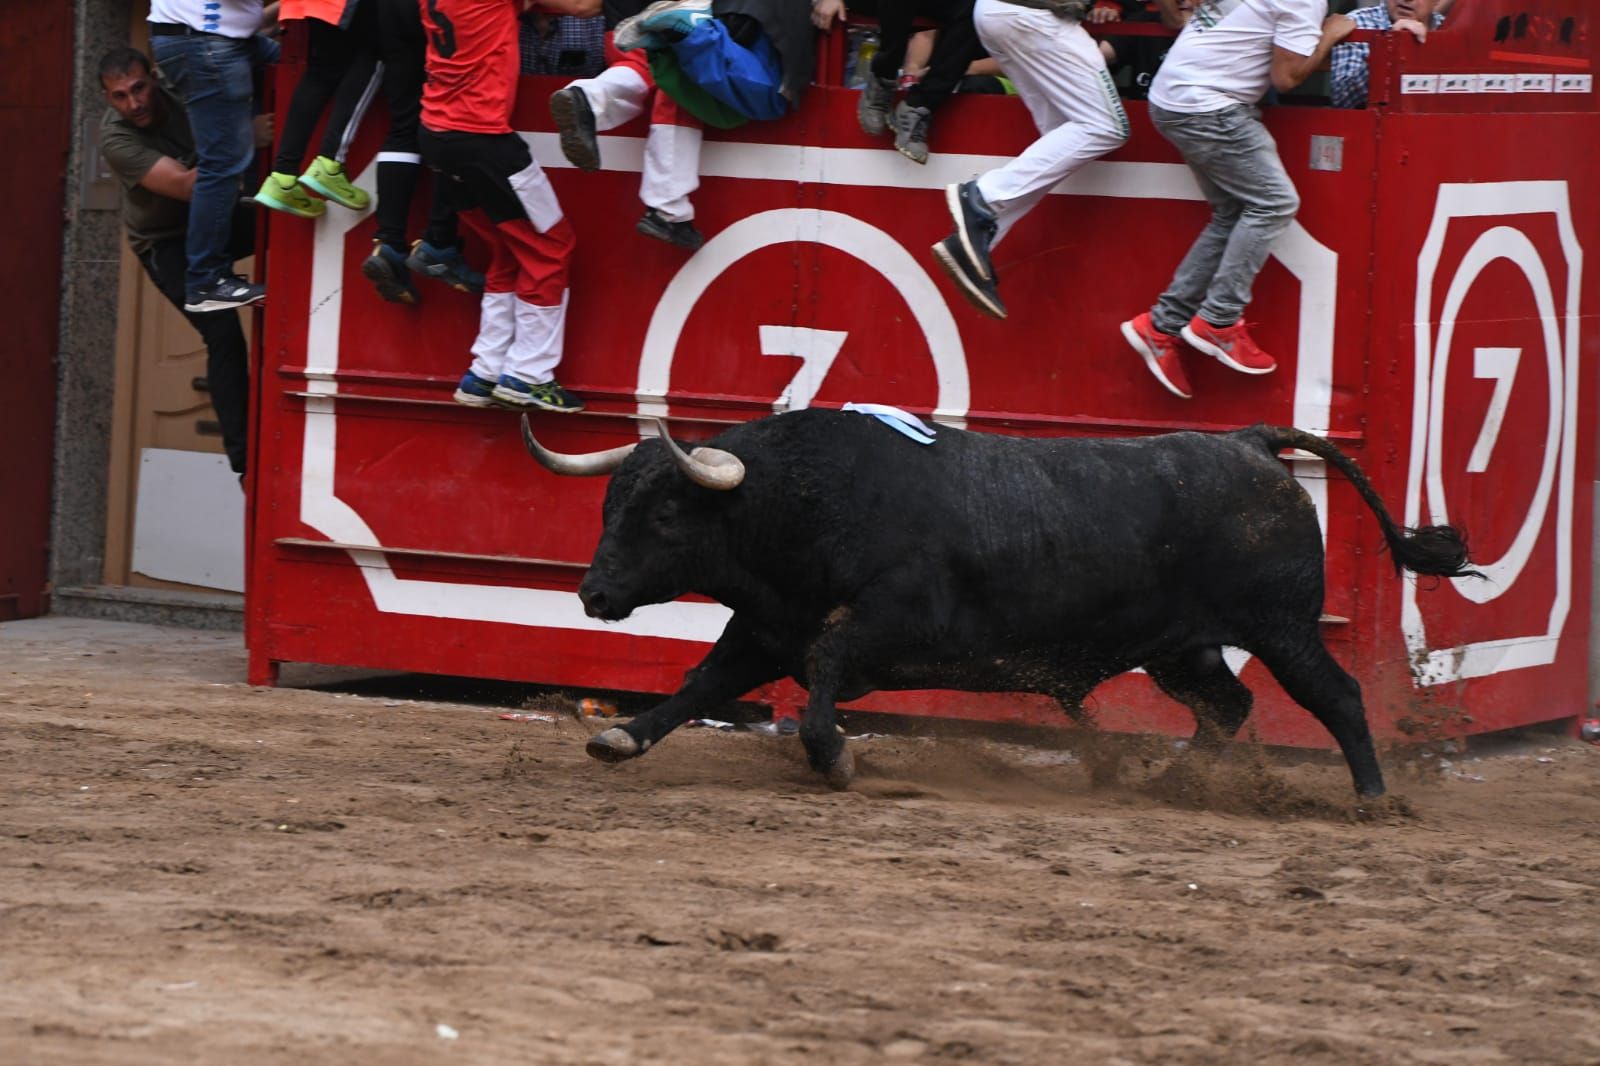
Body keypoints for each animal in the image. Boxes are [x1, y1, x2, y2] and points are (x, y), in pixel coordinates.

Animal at [528, 409, 1472, 793]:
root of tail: (1249, 442)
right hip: (1182, 648)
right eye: (609, 506)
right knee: (1227, 705)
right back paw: (1168, 781)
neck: (805, 501)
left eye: (665, 513)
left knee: (1335, 697)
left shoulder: (888, 625)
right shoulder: (762, 628)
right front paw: (620, 736)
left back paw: (1373, 800)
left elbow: (824, 670)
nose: (594, 592)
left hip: (1283, 626)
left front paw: (833, 757)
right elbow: (700, 684)